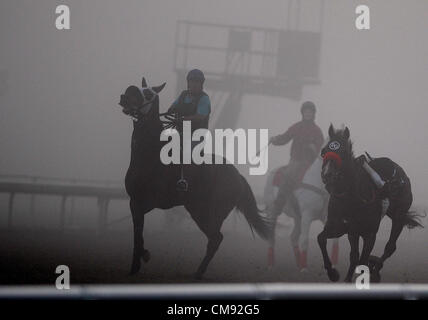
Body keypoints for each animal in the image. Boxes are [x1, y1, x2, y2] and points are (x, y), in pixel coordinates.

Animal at [117, 76, 270, 278]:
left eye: (148, 93)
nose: (126, 94)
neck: (150, 155)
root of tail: (238, 177)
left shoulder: (150, 201)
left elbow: (139, 234)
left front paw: (145, 257)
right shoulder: (134, 202)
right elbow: (137, 234)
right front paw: (135, 266)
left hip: (206, 213)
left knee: (216, 238)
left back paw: (198, 272)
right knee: (215, 239)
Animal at [318, 125, 422, 282]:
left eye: (343, 152)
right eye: (323, 152)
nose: (327, 175)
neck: (351, 199)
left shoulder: (370, 233)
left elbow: (362, 259)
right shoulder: (343, 228)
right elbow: (322, 239)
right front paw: (333, 273)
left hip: (399, 216)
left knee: (390, 247)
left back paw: (375, 270)